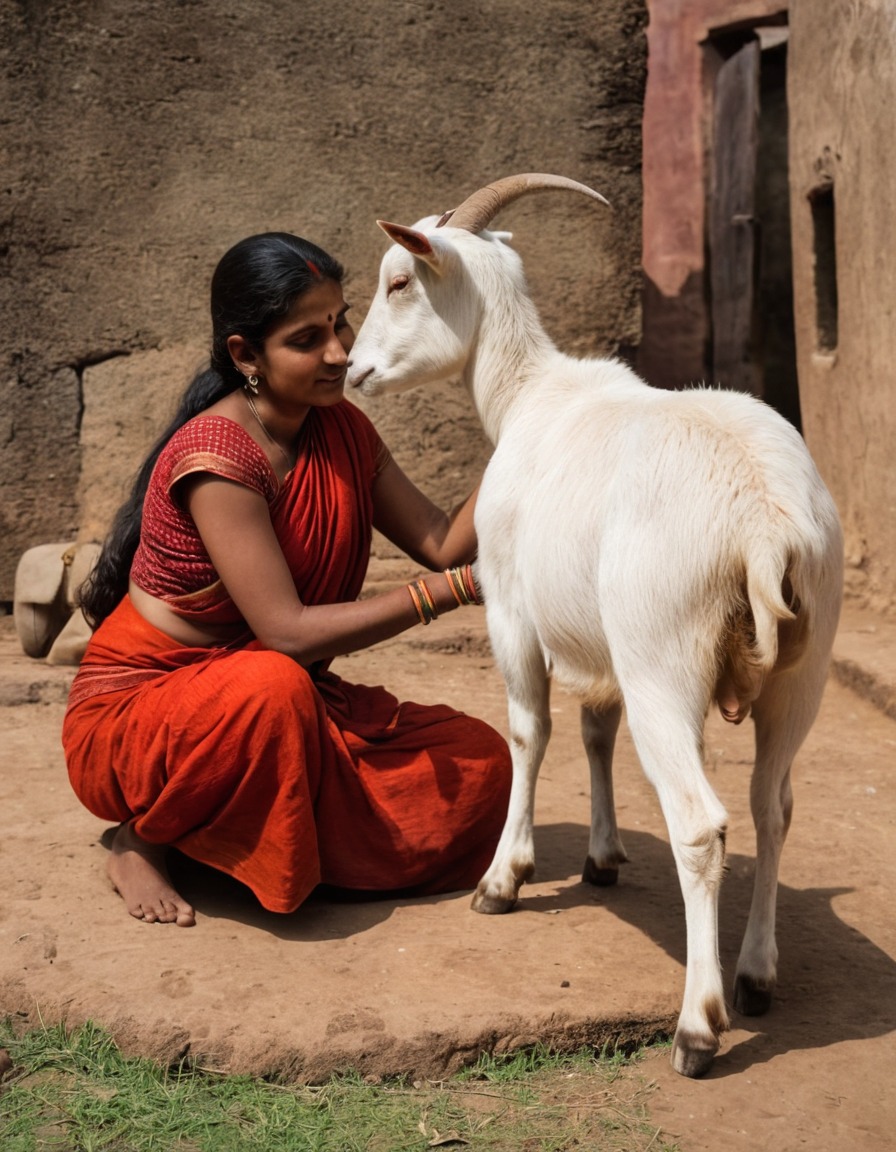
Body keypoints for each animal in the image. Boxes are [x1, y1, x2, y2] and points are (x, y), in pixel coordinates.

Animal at [345, 175, 843, 1073]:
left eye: (399, 280)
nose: (354, 368)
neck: (529, 395)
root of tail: (762, 519)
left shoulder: (514, 611)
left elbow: (530, 733)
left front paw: (503, 879)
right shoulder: (597, 644)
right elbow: (594, 731)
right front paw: (603, 857)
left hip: (663, 658)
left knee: (701, 826)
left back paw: (698, 1027)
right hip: (805, 668)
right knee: (772, 805)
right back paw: (755, 975)